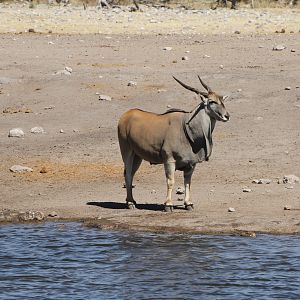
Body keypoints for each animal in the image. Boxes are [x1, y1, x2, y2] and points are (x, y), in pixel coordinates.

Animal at [117, 75, 230, 211]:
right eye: (212, 102)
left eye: (222, 100)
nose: (227, 116)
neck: (186, 127)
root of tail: (126, 115)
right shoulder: (169, 160)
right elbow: (171, 181)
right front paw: (168, 204)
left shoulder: (191, 164)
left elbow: (187, 183)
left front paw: (188, 203)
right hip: (127, 152)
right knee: (128, 174)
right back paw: (130, 203)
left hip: (137, 156)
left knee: (131, 174)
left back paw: (132, 201)